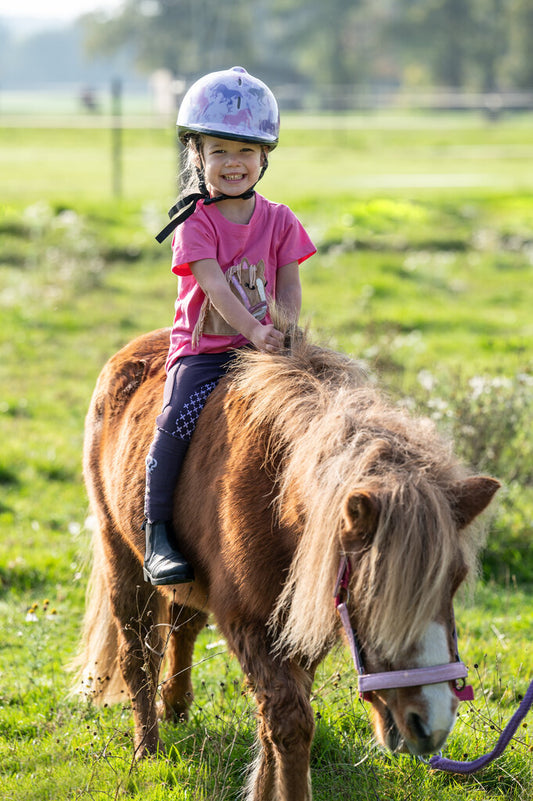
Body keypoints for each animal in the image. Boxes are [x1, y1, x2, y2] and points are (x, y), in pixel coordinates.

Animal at [74, 326, 499, 801]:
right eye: (370, 590)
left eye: (456, 581)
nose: (432, 722)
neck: (278, 495)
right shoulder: (248, 622)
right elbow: (289, 721)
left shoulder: (300, 627)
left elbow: (275, 717)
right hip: (121, 556)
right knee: (138, 656)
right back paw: (147, 750)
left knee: (183, 626)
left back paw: (176, 706)